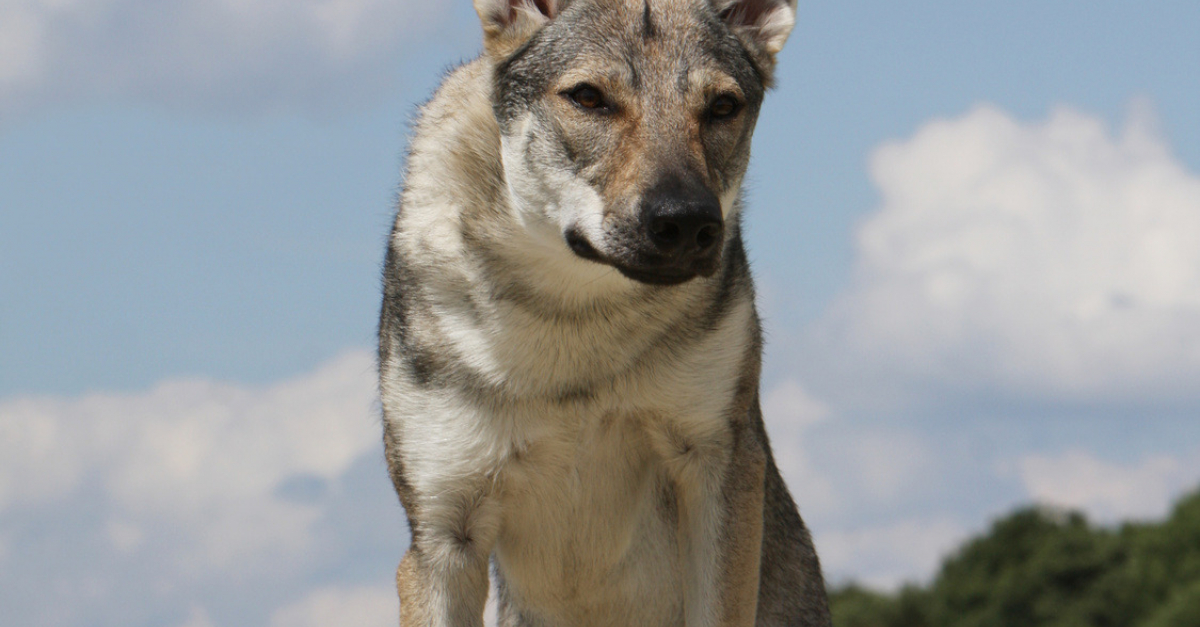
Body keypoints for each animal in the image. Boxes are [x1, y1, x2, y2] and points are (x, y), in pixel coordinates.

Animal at [379, 1, 830, 624]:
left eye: (722, 106)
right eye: (589, 97)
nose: (687, 222)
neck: (574, 317)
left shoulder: (716, 463)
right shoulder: (444, 531)